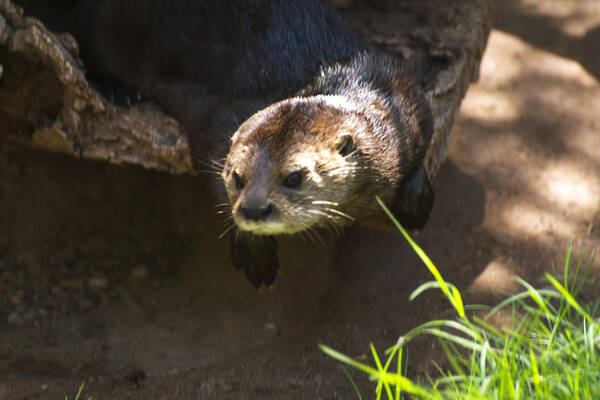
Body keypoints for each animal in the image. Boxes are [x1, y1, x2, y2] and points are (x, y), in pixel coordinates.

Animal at [15, 0, 436, 288]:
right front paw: (254, 254)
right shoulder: (215, 117)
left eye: (295, 176)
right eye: (237, 176)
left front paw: (417, 203)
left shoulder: (404, 96)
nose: (253, 209)